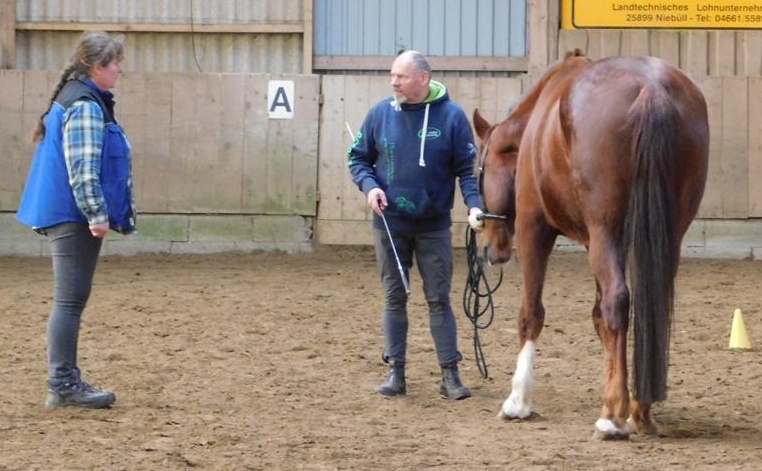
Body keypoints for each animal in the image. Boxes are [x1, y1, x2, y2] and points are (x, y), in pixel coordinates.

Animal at [472, 50, 709, 440]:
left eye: (478, 170)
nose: (490, 249)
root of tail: (651, 88)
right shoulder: (599, 243)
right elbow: (600, 318)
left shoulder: (534, 230)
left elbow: (532, 313)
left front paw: (518, 401)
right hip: (663, 234)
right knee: (646, 305)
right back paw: (639, 410)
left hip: (603, 231)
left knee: (618, 299)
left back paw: (612, 417)